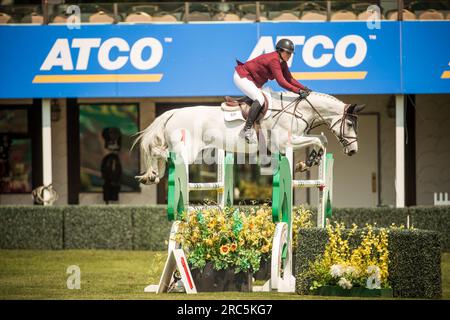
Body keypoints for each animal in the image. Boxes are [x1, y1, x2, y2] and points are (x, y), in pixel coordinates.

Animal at [134, 90, 366, 185]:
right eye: (350, 124)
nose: (354, 150)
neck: (297, 110)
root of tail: (172, 113)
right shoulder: (286, 142)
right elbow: (318, 140)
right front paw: (306, 163)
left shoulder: (292, 141)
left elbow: (319, 142)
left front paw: (307, 163)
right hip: (186, 151)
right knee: (157, 150)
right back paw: (152, 173)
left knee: (162, 155)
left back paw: (153, 175)